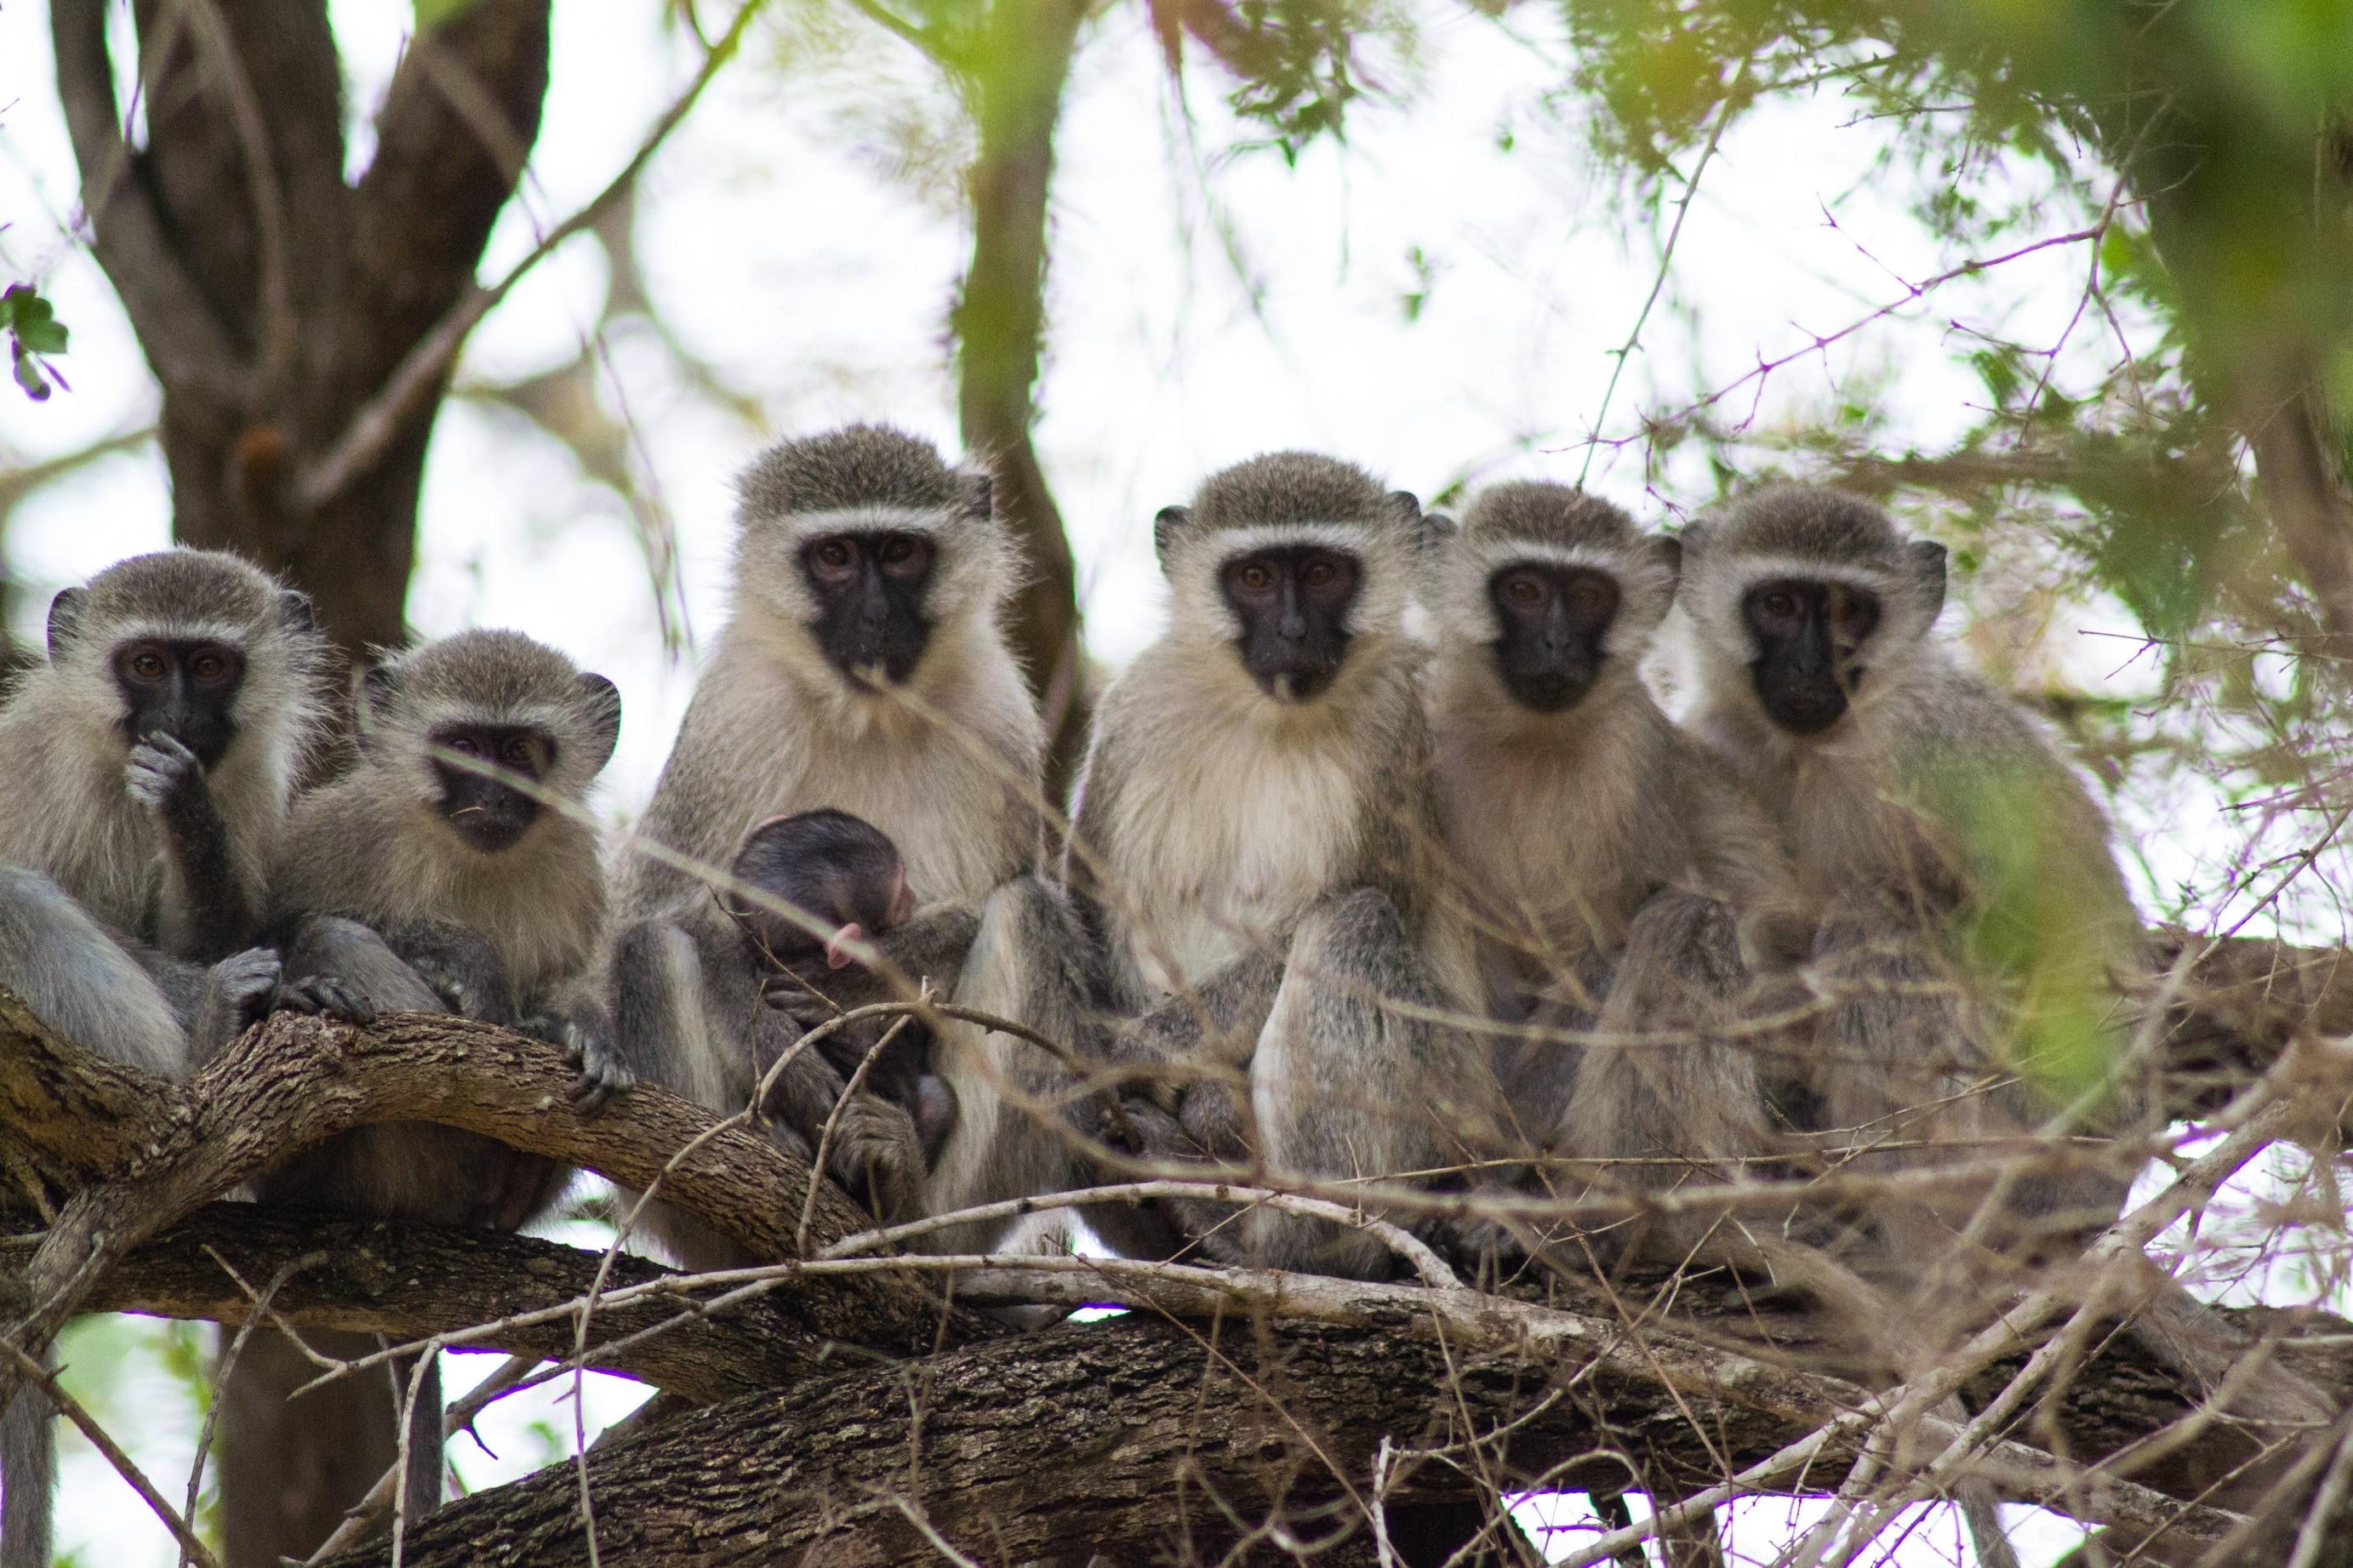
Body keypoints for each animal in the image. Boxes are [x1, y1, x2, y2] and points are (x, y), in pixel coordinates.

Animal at [0, 548, 327, 1568]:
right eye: (147, 665)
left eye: (210, 667)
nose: (176, 720)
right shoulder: (35, 770)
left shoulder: (251, 783)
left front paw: (188, 814)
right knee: (14, 895)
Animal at [605, 424, 1053, 1267]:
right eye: (836, 556)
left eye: (901, 553)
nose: (874, 616)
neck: (866, 708)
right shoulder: (732, 720)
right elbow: (657, 912)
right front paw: (792, 1049)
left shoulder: (998, 719)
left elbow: (980, 905)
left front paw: (855, 983)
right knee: (648, 945)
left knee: (1029, 910)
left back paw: (910, 1210)